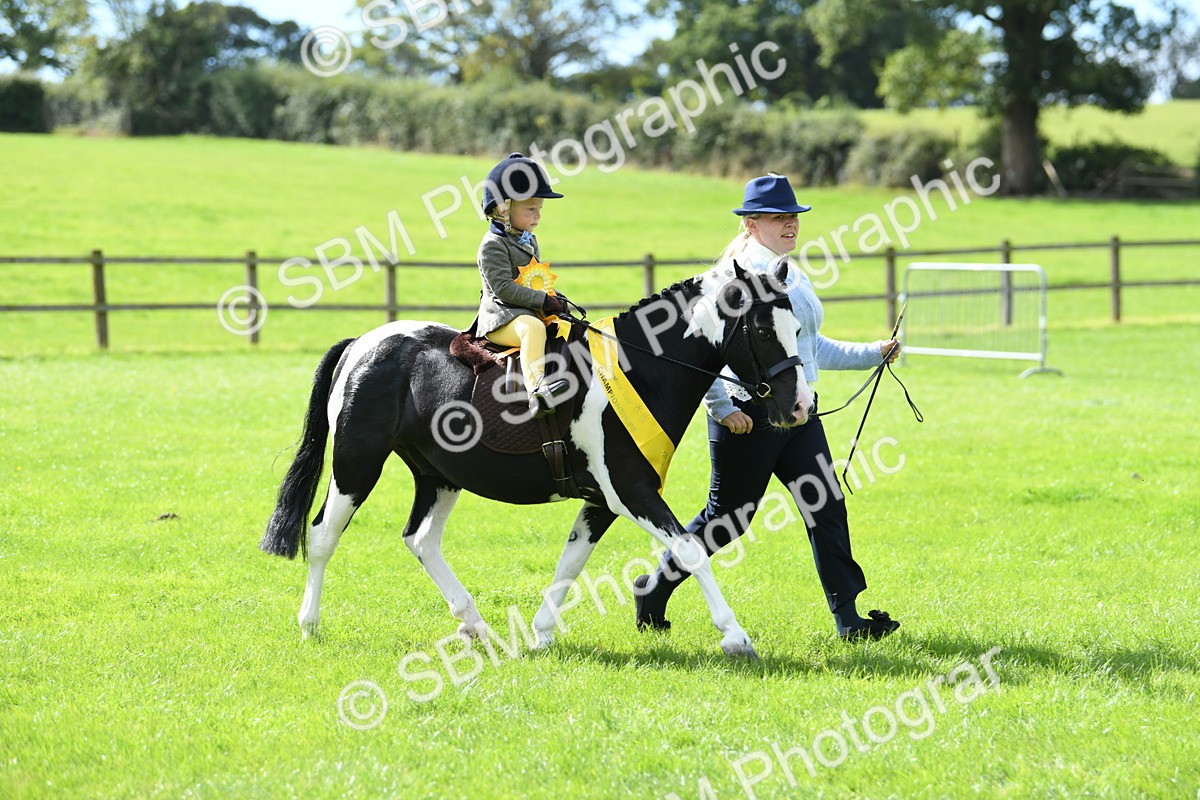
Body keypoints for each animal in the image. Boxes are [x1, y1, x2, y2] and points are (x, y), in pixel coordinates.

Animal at [261, 260, 814, 657]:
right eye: (765, 331)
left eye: (798, 329)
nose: (799, 407)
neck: (640, 368)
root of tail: (363, 343)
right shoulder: (631, 493)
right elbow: (691, 550)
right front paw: (736, 636)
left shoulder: (604, 501)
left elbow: (571, 562)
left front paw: (541, 633)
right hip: (357, 466)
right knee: (323, 536)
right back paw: (309, 625)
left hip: (437, 475)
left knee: (420, 540)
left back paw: (476, 626)